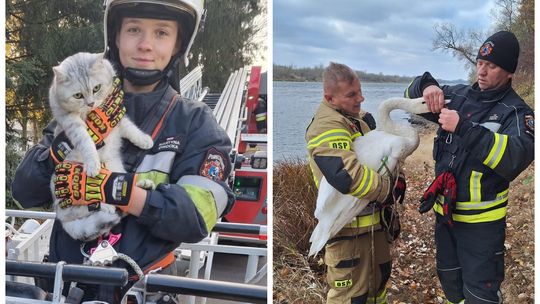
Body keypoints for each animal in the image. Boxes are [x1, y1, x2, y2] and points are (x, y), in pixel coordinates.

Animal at [49, 52, 153, 242]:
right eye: (77, 95)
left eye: (96, 88)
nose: (90, 103)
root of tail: (61, 217)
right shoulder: (70, 122)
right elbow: (85, 140)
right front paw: (92, 163)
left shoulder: (117, 117)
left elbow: (130, 127)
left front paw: (144, 139)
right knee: (90, 204)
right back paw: (106, 205)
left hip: (116, 169)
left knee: (124, 199)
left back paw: (143, 185)